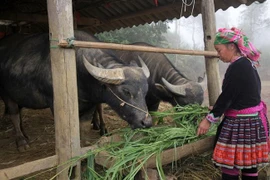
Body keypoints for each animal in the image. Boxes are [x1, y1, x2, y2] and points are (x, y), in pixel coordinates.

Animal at [0, 31, 152, 152]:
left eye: (145, 92)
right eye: (126, 91)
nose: (147, 122)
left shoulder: (91, 103)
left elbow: (84, 126)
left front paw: (84, 144)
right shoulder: (55, 104)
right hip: (7, 95)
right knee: (14, 114)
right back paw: (21, 142)